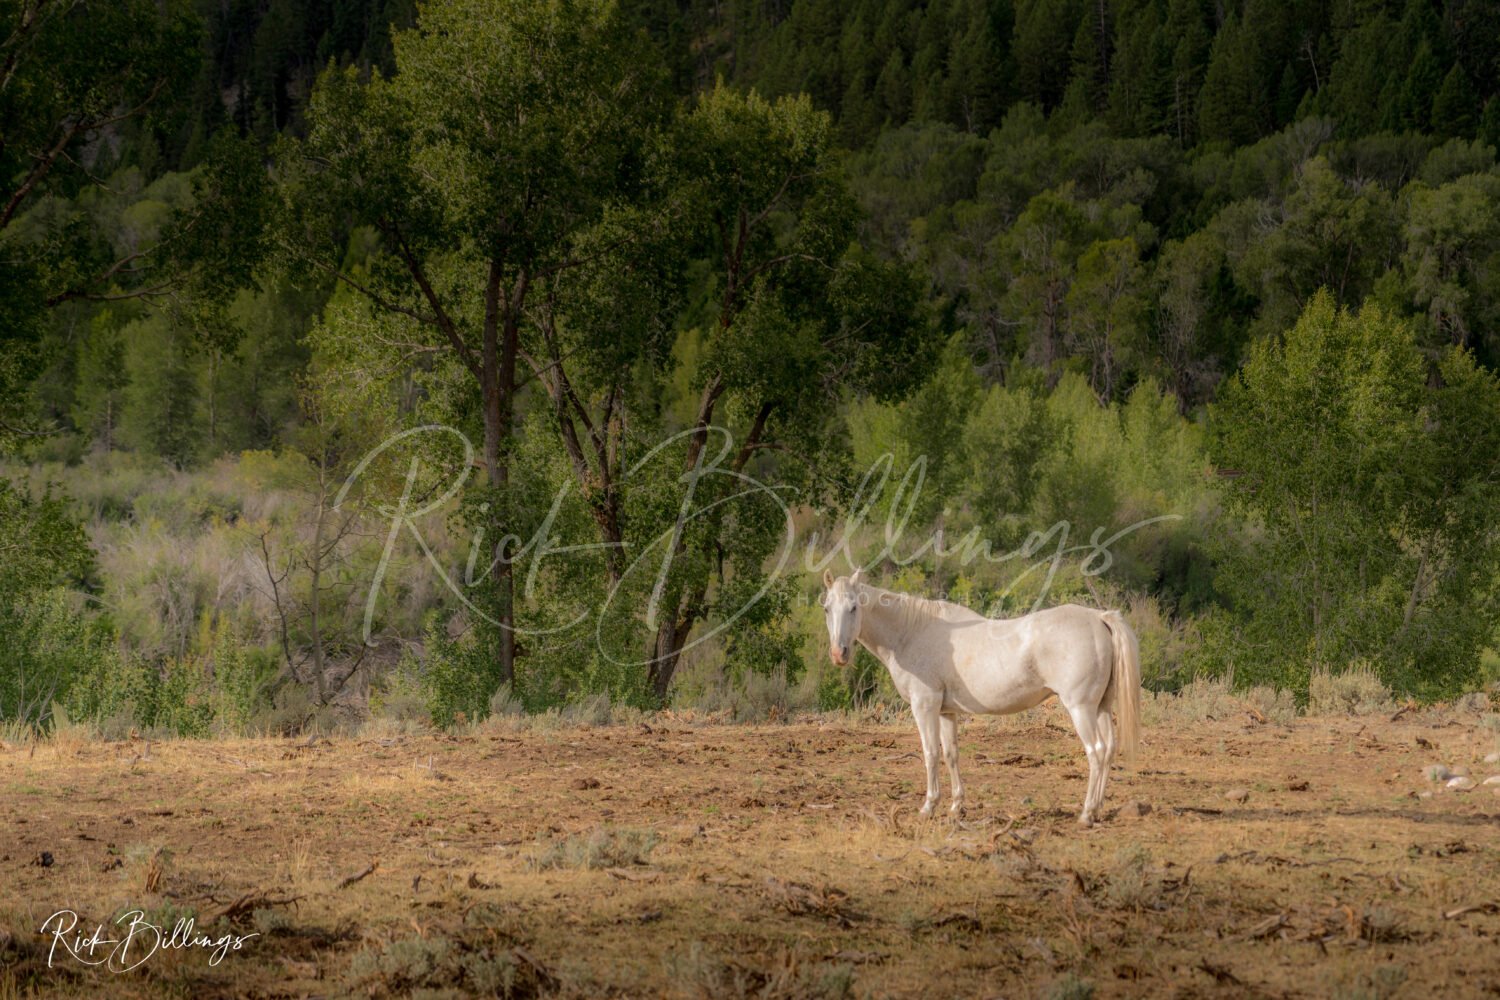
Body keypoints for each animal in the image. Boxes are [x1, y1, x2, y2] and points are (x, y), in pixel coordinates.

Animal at [821, 569, 1141, 827]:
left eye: (853, 607)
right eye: (826, 608)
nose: (838, 654)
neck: (912, 632)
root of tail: (1098, 618)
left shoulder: (924, 706)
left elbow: (930, 753)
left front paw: (928, 807)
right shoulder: (946, 712)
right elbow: (951, 755)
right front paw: (956, 807)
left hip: (1080, 708)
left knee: (1096, 752)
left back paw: (1086, 814)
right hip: (1101, 707)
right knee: (1109, 750)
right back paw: (1098, 809)